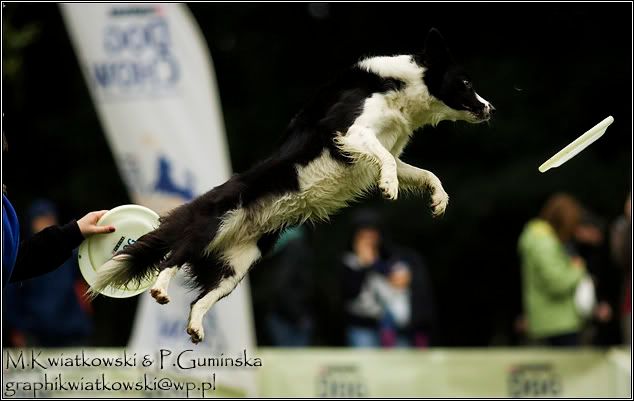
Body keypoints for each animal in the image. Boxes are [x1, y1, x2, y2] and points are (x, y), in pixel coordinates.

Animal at [90, 28, 495, 344]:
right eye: (466, 82)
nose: (491, 108)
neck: (400, 92)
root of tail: (199, 202)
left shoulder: (388, 149)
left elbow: (423, 172)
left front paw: (438, 200)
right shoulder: (350, 130)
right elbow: (384, 158)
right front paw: (389, 187)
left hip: (236, 268)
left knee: (198, 300)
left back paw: (195, 328)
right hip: (212, 224)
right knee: (172, 258)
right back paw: (161, 288)